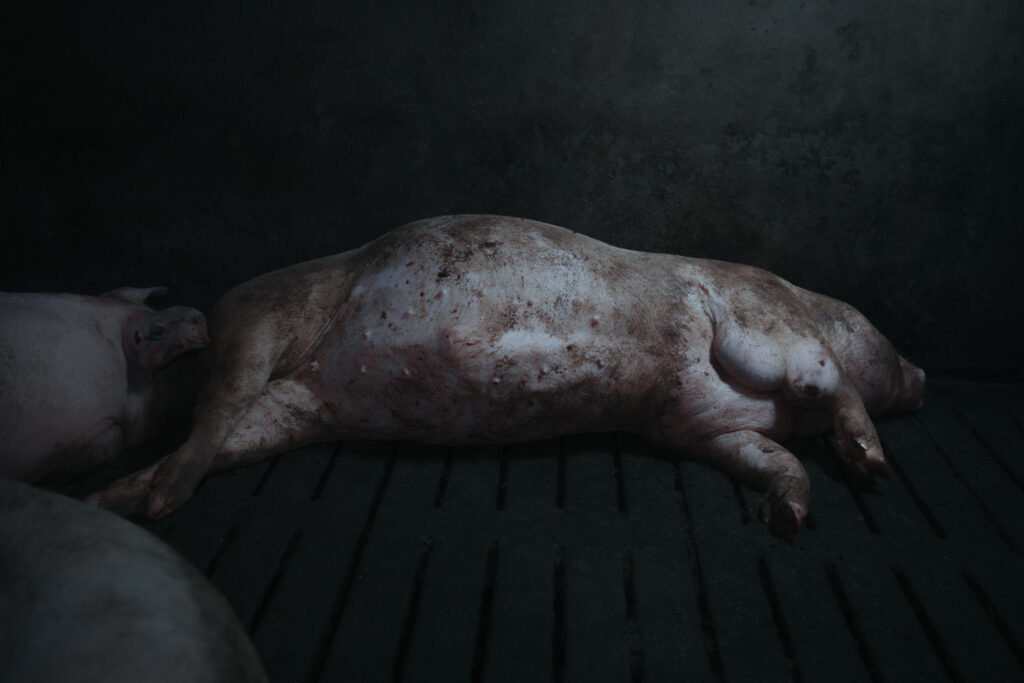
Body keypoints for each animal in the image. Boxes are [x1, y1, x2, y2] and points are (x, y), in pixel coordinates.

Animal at [88, 215, 925, 540]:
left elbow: (771, 455)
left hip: (299, 405)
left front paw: (787, 517)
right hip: (268, 323)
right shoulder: (759, 323)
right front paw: (868, 467)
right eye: (878, 329)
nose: (923, 373)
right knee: (219, 406)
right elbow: (823, 383)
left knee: (230, 428)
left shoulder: (695, 424)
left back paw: (119, 498)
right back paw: (150, 502)